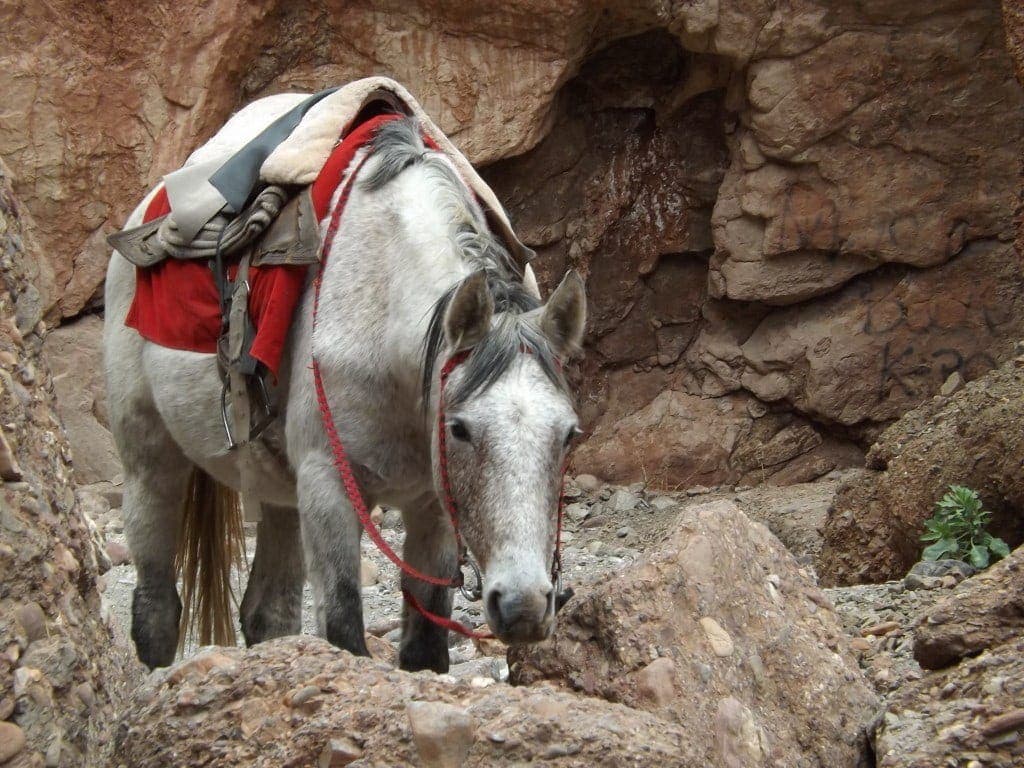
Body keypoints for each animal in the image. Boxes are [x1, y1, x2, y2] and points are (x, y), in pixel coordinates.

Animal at [104, 100, 589, 671]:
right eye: (460, 429)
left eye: (569, 435)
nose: (524, 608)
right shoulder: (328, 486)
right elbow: (343, 631)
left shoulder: (433, 507)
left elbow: (425, 648)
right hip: (149, 458)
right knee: (157, 607)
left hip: (280, 492)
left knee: (267, 614)